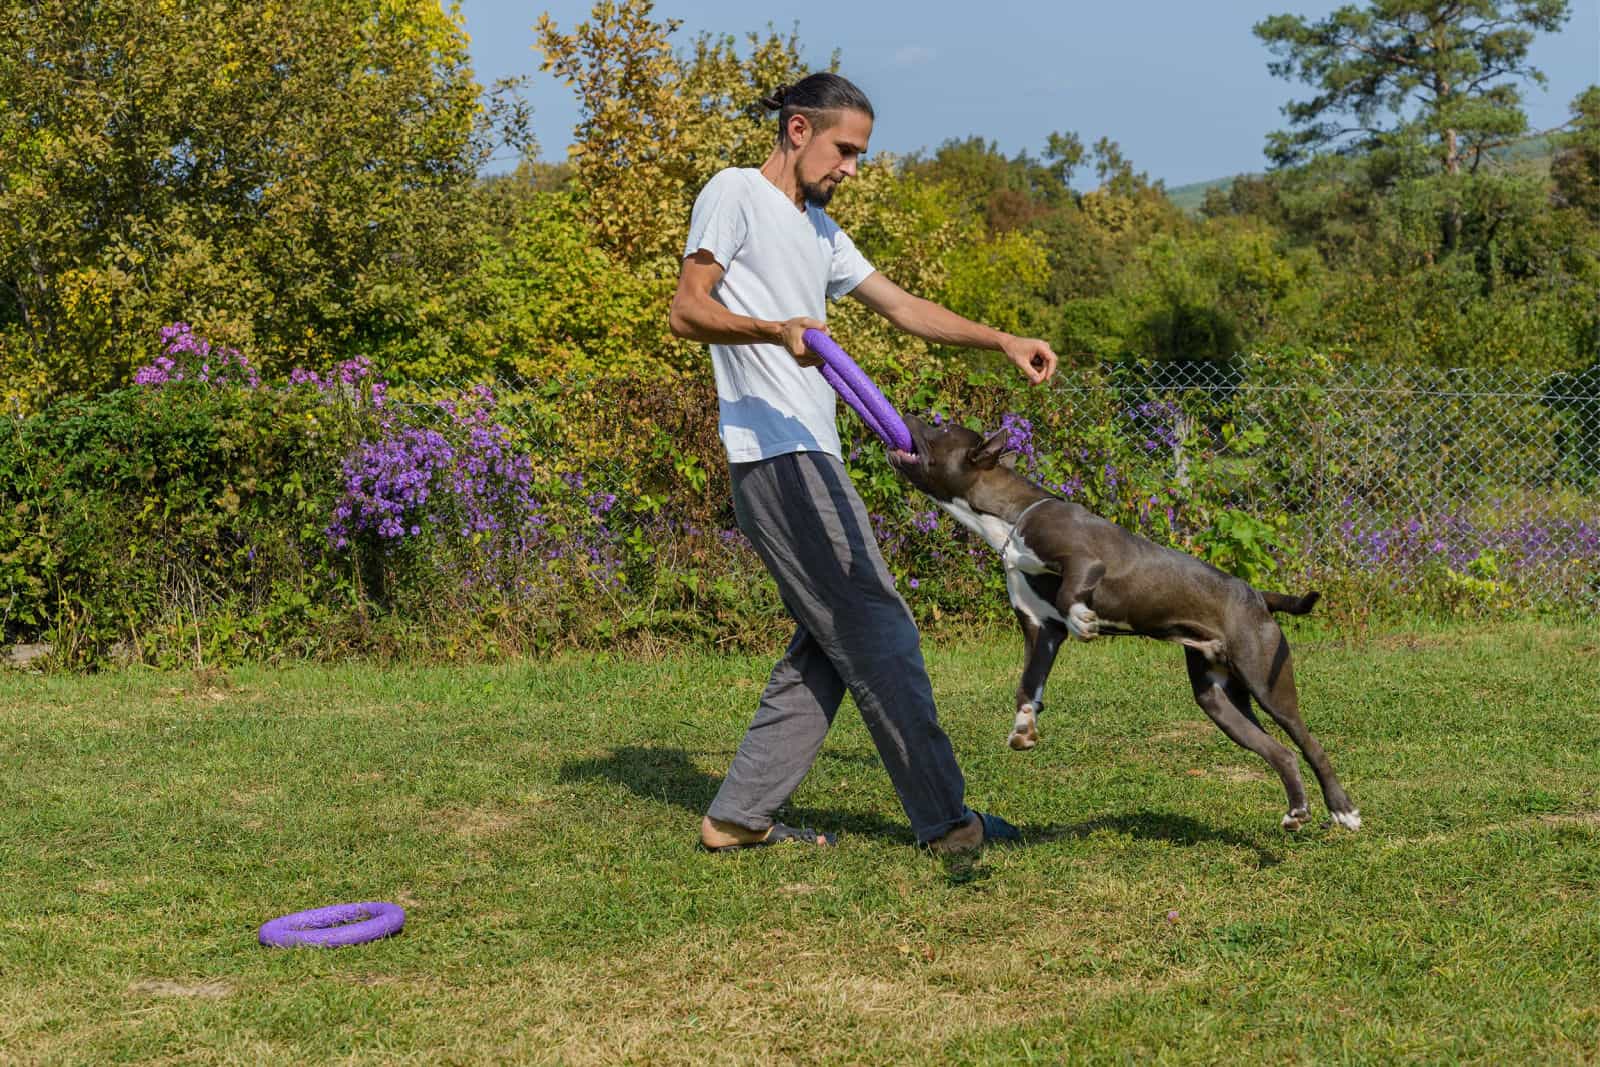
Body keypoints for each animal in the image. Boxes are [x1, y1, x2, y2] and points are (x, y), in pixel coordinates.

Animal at [896, 415, 1356, 831]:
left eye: (941, 429)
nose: (909, 417)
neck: (1010, 517)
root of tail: (1259, 596)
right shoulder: (1040, 630)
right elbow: (1028, 683)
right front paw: (1024, 726)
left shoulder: (1086, 563)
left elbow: (1069, 594)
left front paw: (1084, 619)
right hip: (1219, 701)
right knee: (1282, 753)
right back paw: (1297, 811)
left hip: (1267, 684)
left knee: (1310, 744)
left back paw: (1343, 811)